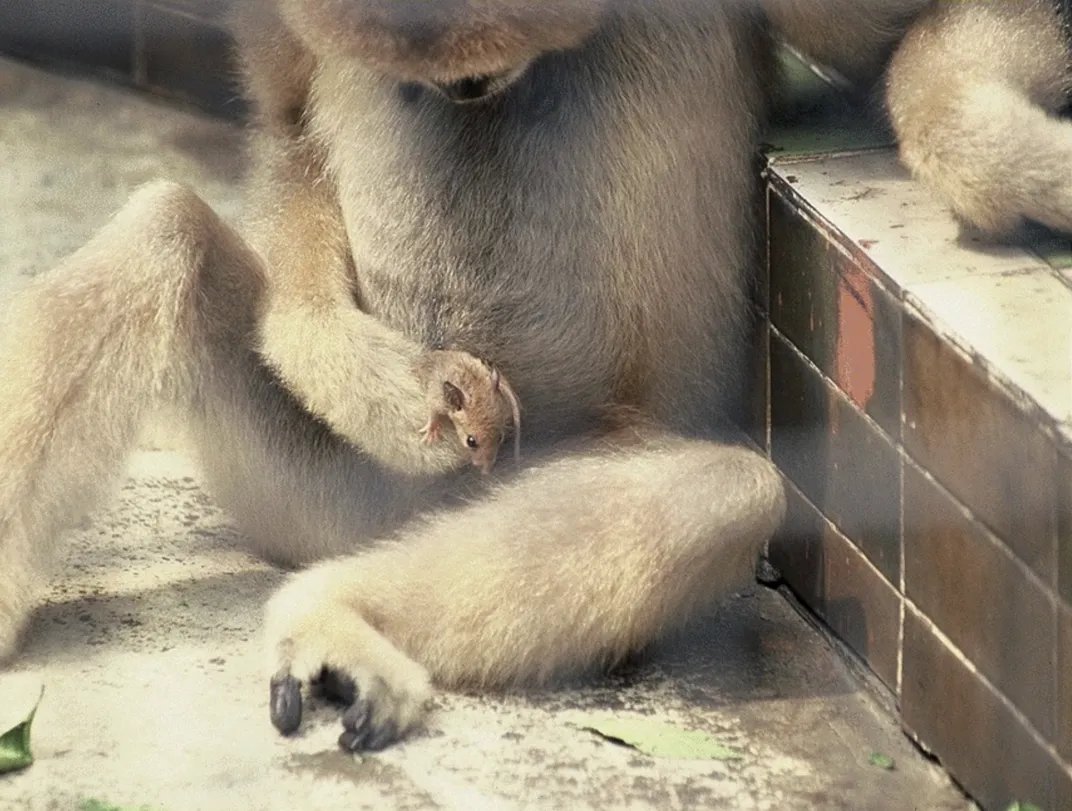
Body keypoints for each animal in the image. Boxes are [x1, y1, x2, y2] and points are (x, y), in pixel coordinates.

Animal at [0, 0, 1069, 755]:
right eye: (439, 77)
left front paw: (1011, 157)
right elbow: (285, 124)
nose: (471, 88)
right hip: (322, 494)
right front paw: (360, 370)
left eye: (478, 69)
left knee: (719, 489)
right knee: (165, 235)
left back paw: (342, 613)